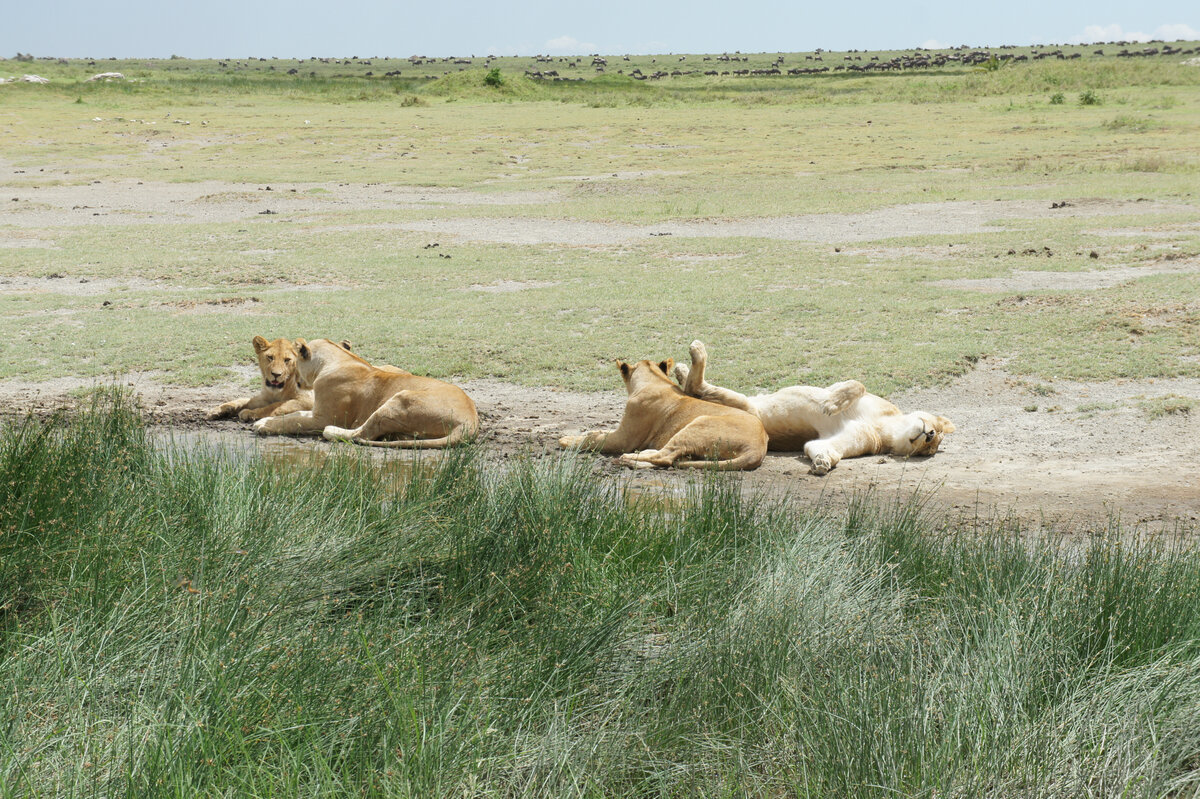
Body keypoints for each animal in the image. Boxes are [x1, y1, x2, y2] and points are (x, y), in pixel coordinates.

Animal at [204, 333, 348, 422]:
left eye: (287, 360)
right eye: (270, 357)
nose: (276, 374)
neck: (279, 390)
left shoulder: (306, 400)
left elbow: (276, 406)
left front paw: (250, 413)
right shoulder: (265, 396)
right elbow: (242, 400)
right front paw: (218, 410)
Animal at [249, 338, 477, 448]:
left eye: (290, 361)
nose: (282, 377)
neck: (337, 359)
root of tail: (471, 420)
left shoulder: (324, 417)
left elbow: (293, 420)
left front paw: (264, 425)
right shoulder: (315, 411)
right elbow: (294, 414)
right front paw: (264, 420)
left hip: (400, 398)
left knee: (361, 433)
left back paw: (334, 432)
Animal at [556, 355, 763, 467]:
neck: (654, 380)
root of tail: (758, 448)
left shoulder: (624, 439)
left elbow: (595, 439)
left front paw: (566, 440)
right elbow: (597, 432)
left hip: (699, 423)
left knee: (666, 457)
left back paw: (629, 458)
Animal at [676, 338, 955, 472]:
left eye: (928, 450)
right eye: (935, 434)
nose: (930, 434)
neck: (885, 427)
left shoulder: (844, 439)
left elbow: (818, 447)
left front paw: (823, 462)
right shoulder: (849, 390)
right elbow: (857, 384)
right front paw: (832, 404)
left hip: (746, 406)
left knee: (695, 389)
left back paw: (688, 362)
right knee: (693, 387)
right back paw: (685, 363)